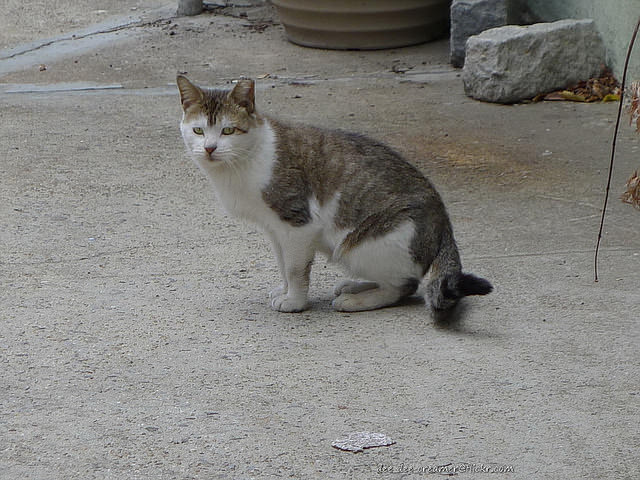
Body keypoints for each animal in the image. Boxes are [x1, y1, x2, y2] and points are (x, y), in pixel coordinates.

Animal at [175, 75, 490, 314]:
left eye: (228, 130)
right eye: (198, 130)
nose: (210, 148)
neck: (241, 164)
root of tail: (443, 219)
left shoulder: (297, 224)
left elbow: (295, 269)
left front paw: (295, 301)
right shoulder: (275, 229)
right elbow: (282, 264)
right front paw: (285, 291)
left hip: (361, 245)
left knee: (404, 286)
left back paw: (356, 300)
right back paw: (355, 285)